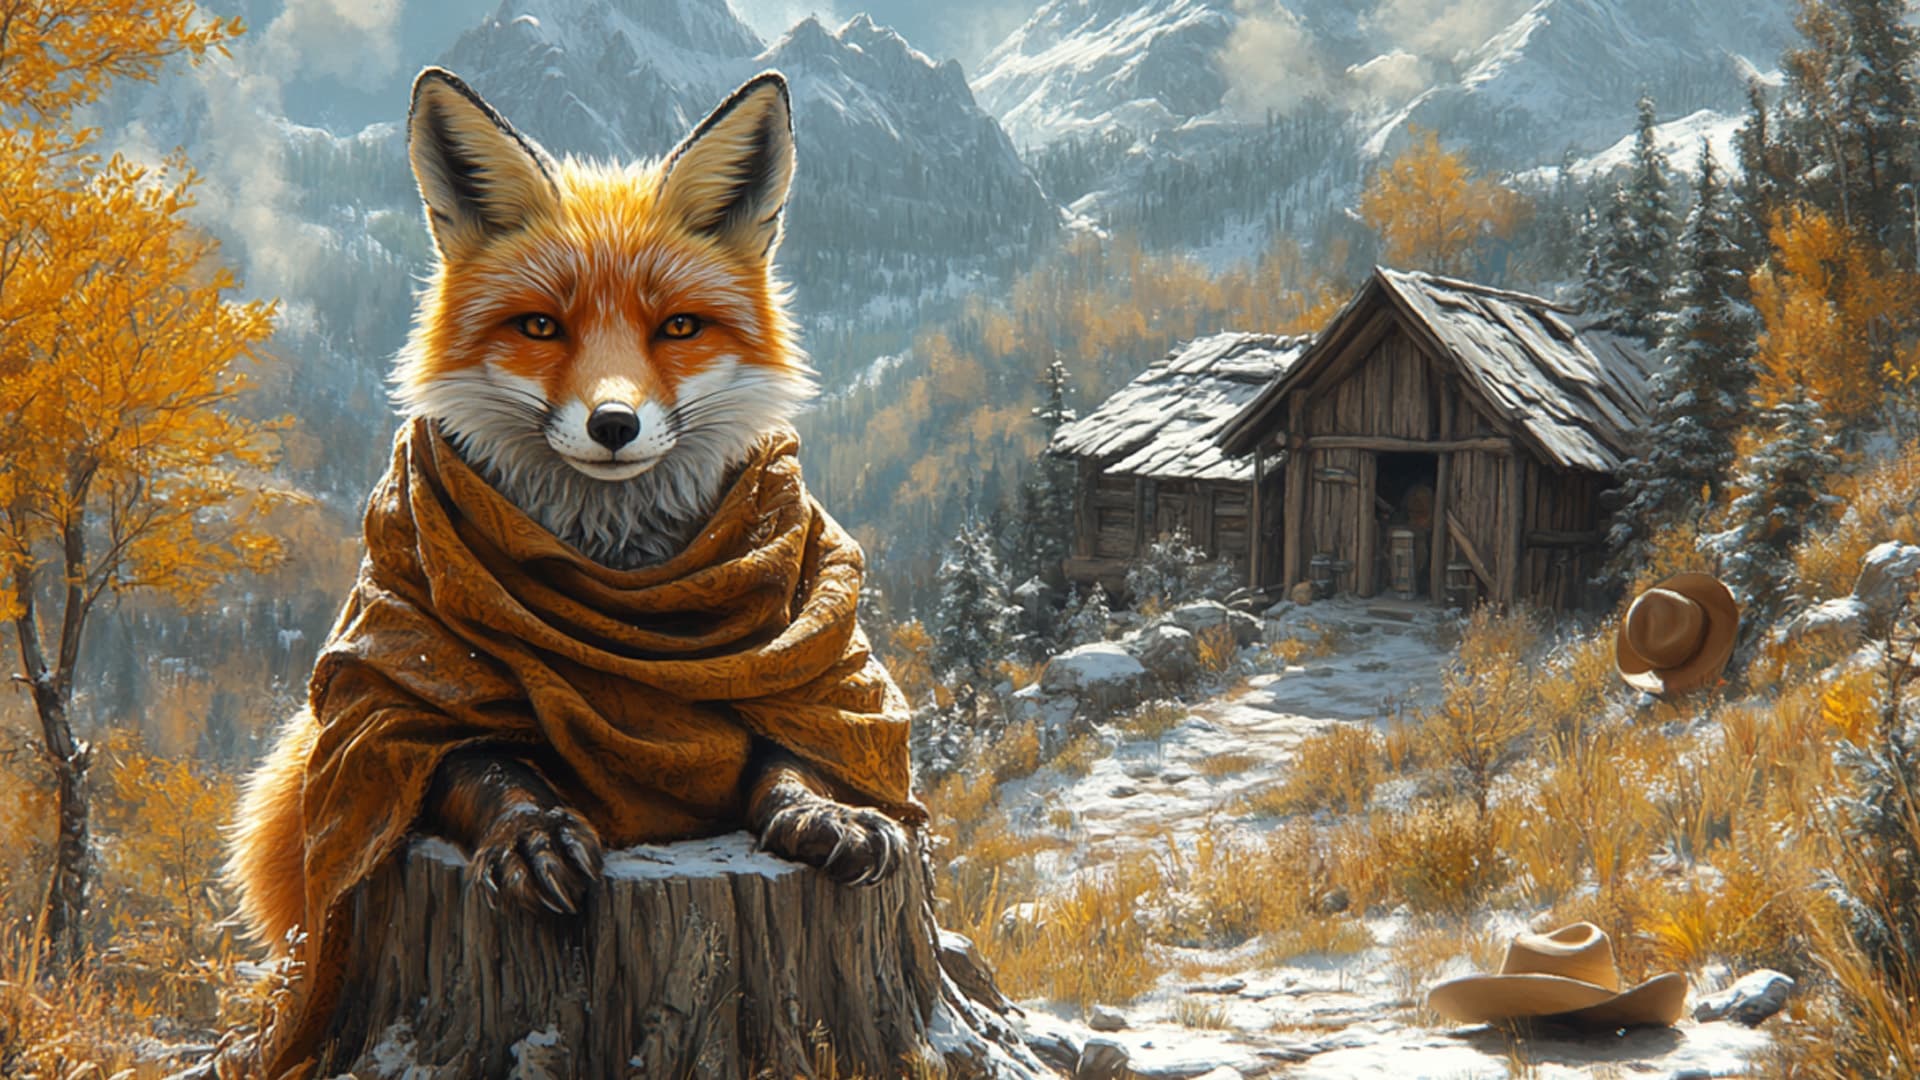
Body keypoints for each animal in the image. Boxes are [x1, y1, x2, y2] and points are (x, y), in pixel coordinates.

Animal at [228, 67, 909, 942]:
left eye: (678, 327)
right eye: (540, 327)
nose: (613, 424)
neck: (620, 576)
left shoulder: (813, 673)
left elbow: (790, 755)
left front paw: (826, 810)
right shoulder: (391, 704)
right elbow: (487, 768)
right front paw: (533, 834)